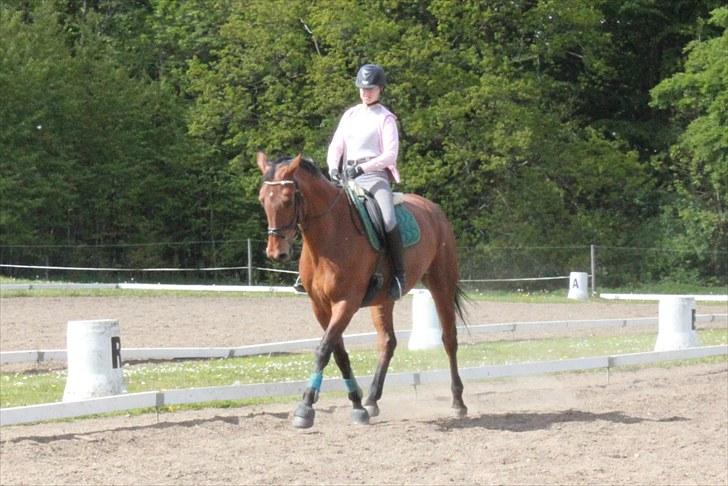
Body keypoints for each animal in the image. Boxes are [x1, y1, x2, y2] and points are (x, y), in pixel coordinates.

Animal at [258, 152, 470, 430]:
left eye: (287, 198)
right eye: (262, 199)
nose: (276, 253)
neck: (330, 236)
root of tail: (433, 208)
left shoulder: (346, 302)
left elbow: (323, 350)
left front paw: (306, 407)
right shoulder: (320, 306)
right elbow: (338, 353)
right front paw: (358, 405)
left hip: (441, 283)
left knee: (449, 339)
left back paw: (458, 402)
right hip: (384, 299)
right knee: (388, 342)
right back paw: (372, 399)